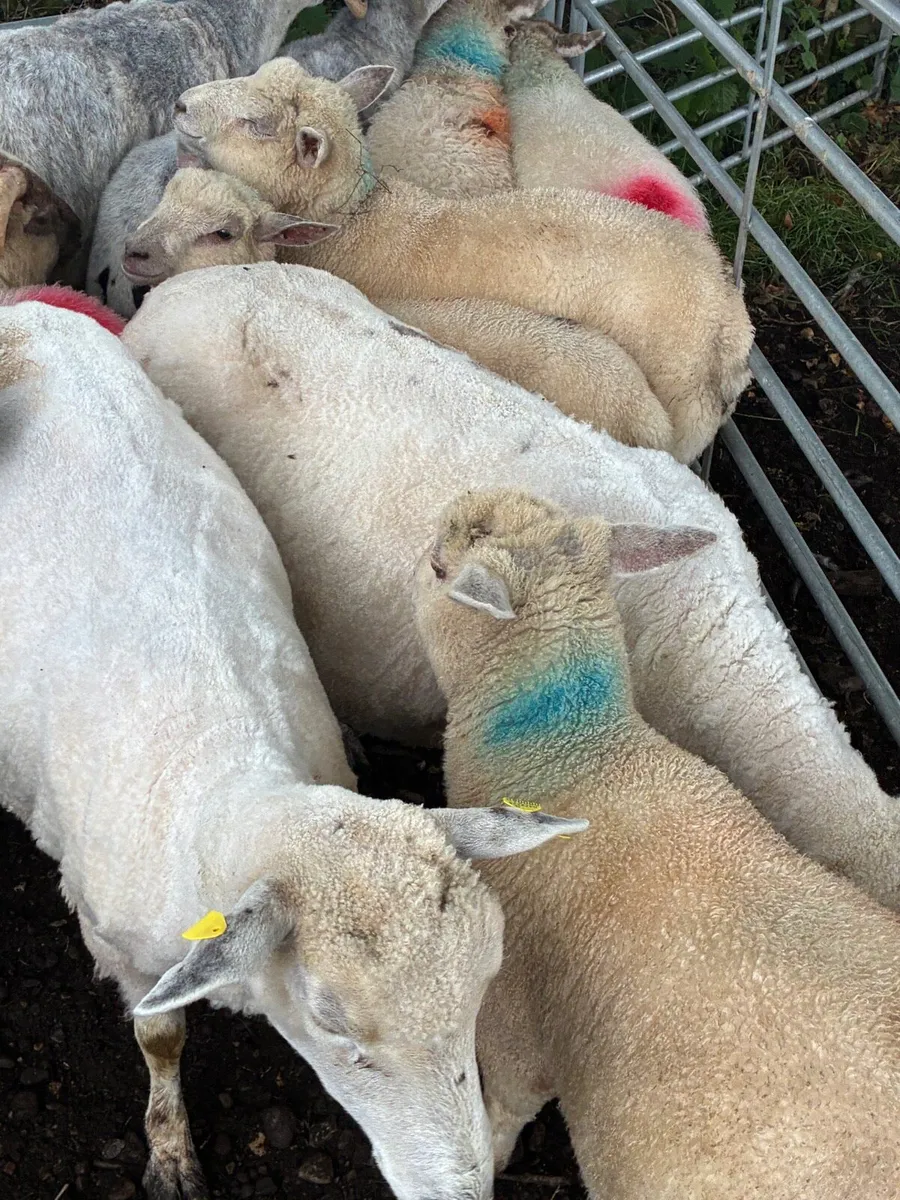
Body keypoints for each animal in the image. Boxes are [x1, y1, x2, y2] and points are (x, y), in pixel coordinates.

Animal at [0, 294, 584, 1200]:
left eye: (484, 988)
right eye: (331, 1026)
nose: (461, 1188)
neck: (231, 788)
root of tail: (26, 314)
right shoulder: (118, 949)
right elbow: (160, 1039)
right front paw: (170, 1150)